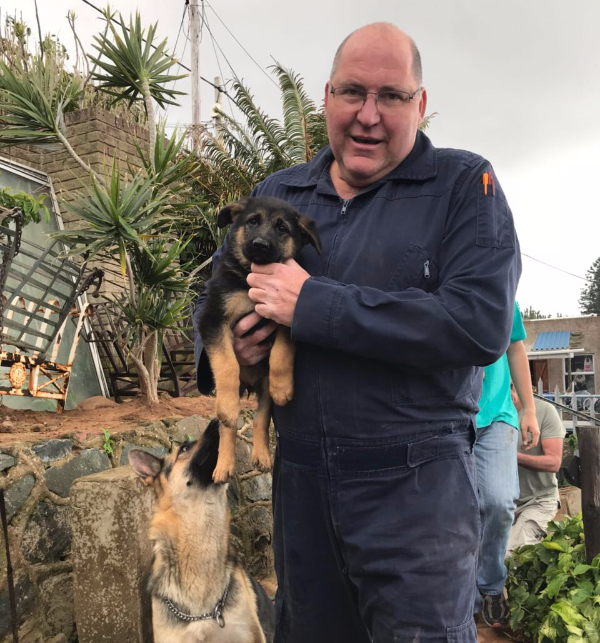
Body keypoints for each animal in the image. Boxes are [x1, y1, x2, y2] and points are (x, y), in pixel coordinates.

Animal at [199, 196, 322, 484]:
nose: (260, 245)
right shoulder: (213, 320)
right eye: (252, 221)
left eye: (282, 228)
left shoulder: (286, 314)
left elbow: (281, 354)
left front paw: (283, 386)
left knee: (261, 418)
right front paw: (228, 407)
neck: (248, 279)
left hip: (263, 388)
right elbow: (227, 364)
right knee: (227, 426)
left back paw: (262, 456)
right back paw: (223, 465)